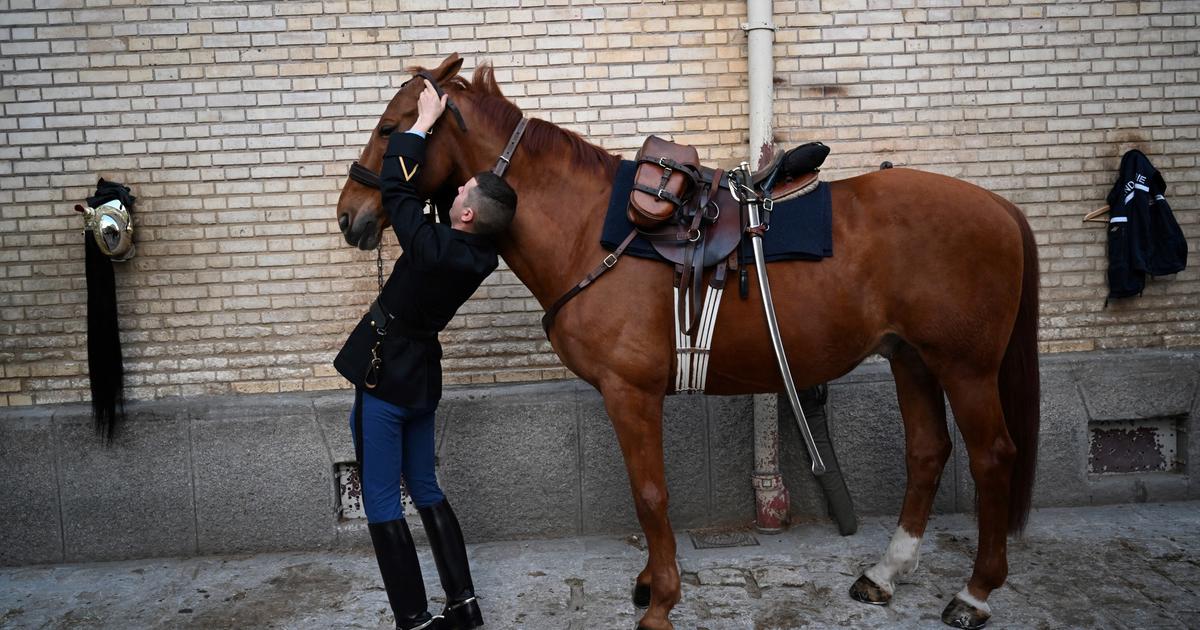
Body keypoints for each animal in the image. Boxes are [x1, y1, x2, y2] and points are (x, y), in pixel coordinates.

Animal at [338, 55, 1041, 628]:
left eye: (391, 129)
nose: (350, 216)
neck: (590, 229)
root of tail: (1000, 208)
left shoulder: (630, 393)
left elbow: (650, 495)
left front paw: (662, 601)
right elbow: (644, 493)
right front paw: (653, 584)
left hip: (965, 368)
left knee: (993, 457)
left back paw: (975, 593)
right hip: (911, 359)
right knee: (927, 453)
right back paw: (886, 575)